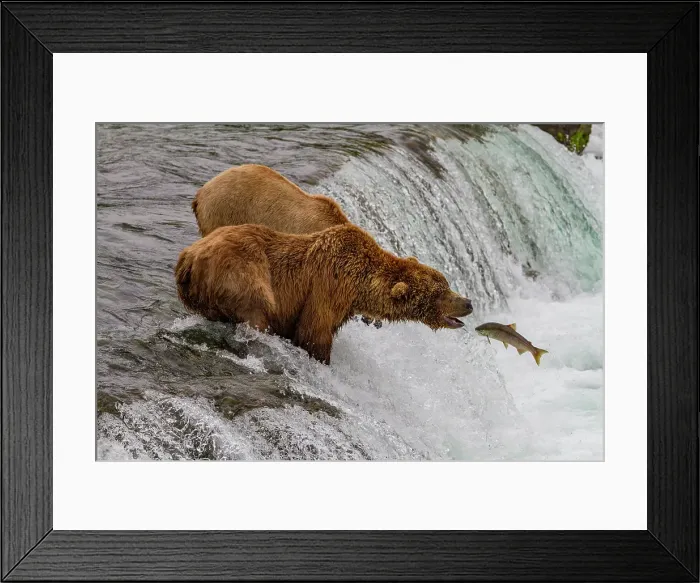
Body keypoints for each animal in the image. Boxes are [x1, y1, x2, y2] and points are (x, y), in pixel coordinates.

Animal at [175, 223, 473, 364]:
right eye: (440, 292)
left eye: (446, 283)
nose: (468, 302)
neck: (361, 285)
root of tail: (188, 256)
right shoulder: (328, 286)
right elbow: (314, 332)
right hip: (241, 275)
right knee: (257, 310)